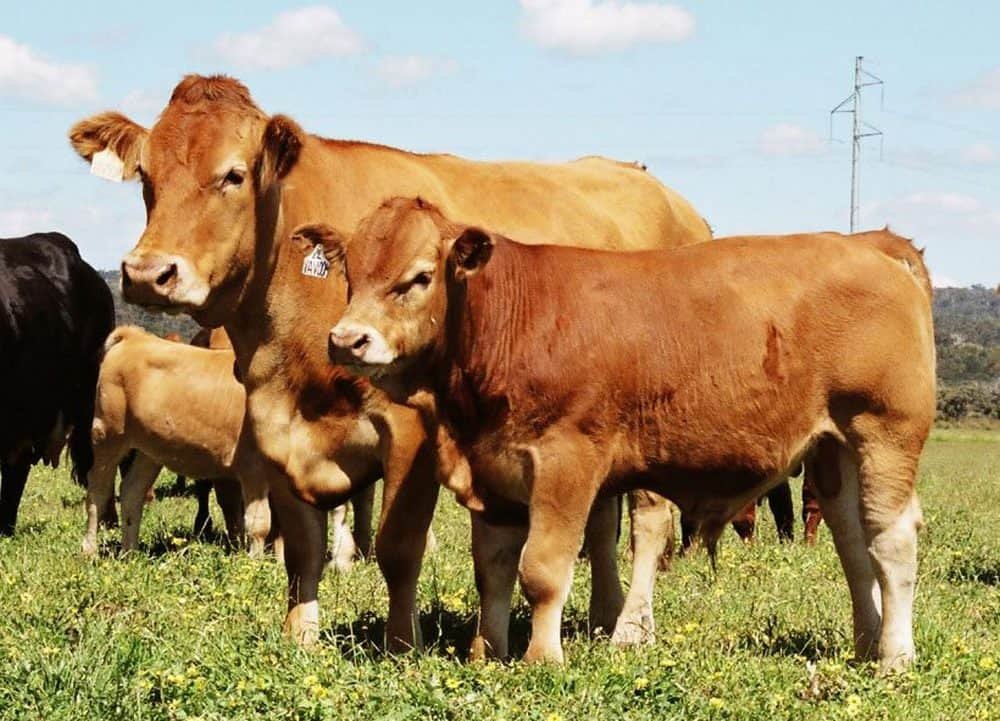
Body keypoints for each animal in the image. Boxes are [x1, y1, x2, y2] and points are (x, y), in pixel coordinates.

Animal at [68, 74, 711, 650]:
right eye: (146, 176)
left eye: (233, 174)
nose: (148, 273)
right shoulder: (274, 425)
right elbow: (302, 549)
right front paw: (300, 638)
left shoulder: (411, 430)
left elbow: (398, 546)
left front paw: (403, 644)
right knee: (600, 523)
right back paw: (604, 616)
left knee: (649, 521)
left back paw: (631, 629)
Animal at [322, 198, 936, 673]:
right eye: (350, 274)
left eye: (419, 277)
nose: (347, 340)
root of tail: (871, 244)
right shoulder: (492, 473)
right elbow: (492, 571)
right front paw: (486, 653)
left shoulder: (565, 463)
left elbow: (542, 569)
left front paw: (542, 658)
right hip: (834, 448)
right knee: (853, 541)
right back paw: (866, 643)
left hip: (884, 432)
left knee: (891, 539)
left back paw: (895, 656)